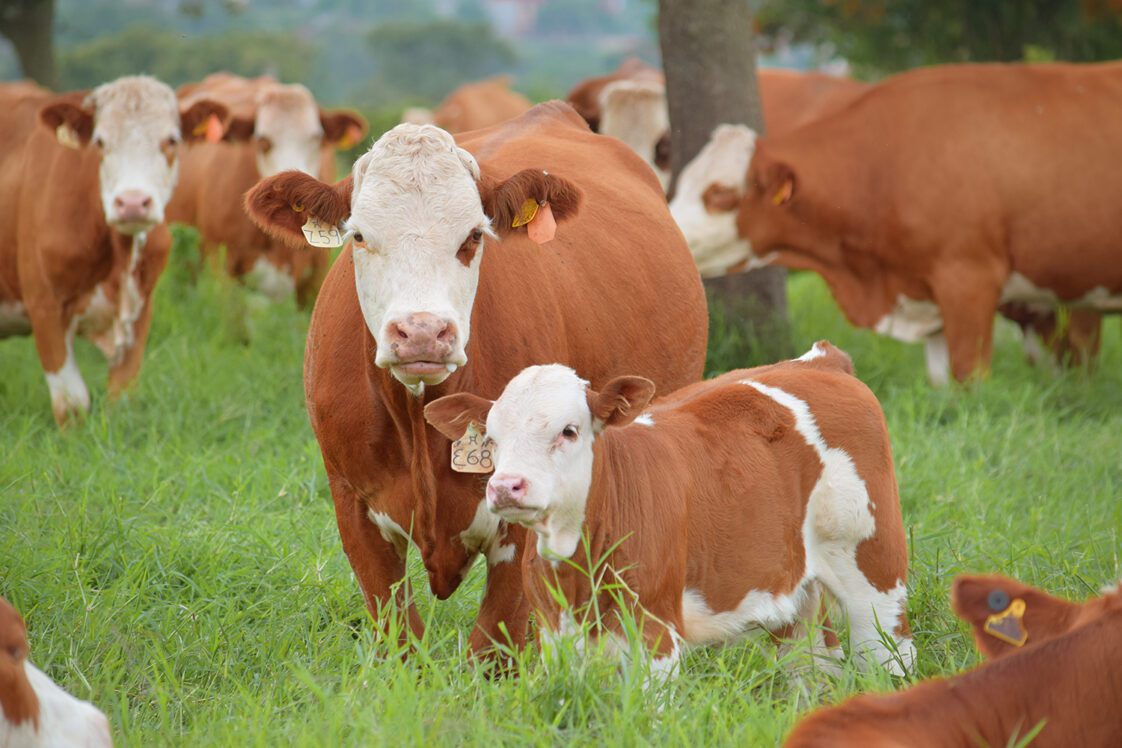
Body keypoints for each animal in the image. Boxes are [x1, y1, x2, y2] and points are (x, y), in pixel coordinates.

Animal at [0, 76, 227, 426]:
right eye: (100, 141)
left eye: (171, 140)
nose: (132, 203)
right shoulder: (44, 305)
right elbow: (72, 404)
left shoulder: (141, 309)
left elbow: (122, 397)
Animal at [242, 102, 707, 657]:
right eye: (359, 236)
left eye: (473, 236)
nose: (422, 332)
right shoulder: (352, 506)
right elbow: (401, 640)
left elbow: (493, 647)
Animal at [424, 342, 915, 678]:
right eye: (491, 438)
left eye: (569, 430)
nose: (506, 486)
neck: (578, 562)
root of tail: (821, 361)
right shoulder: (554, 634)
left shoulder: (655, 631)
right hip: (795, 593)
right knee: (813, 665)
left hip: (875, 573)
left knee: (889, 655)